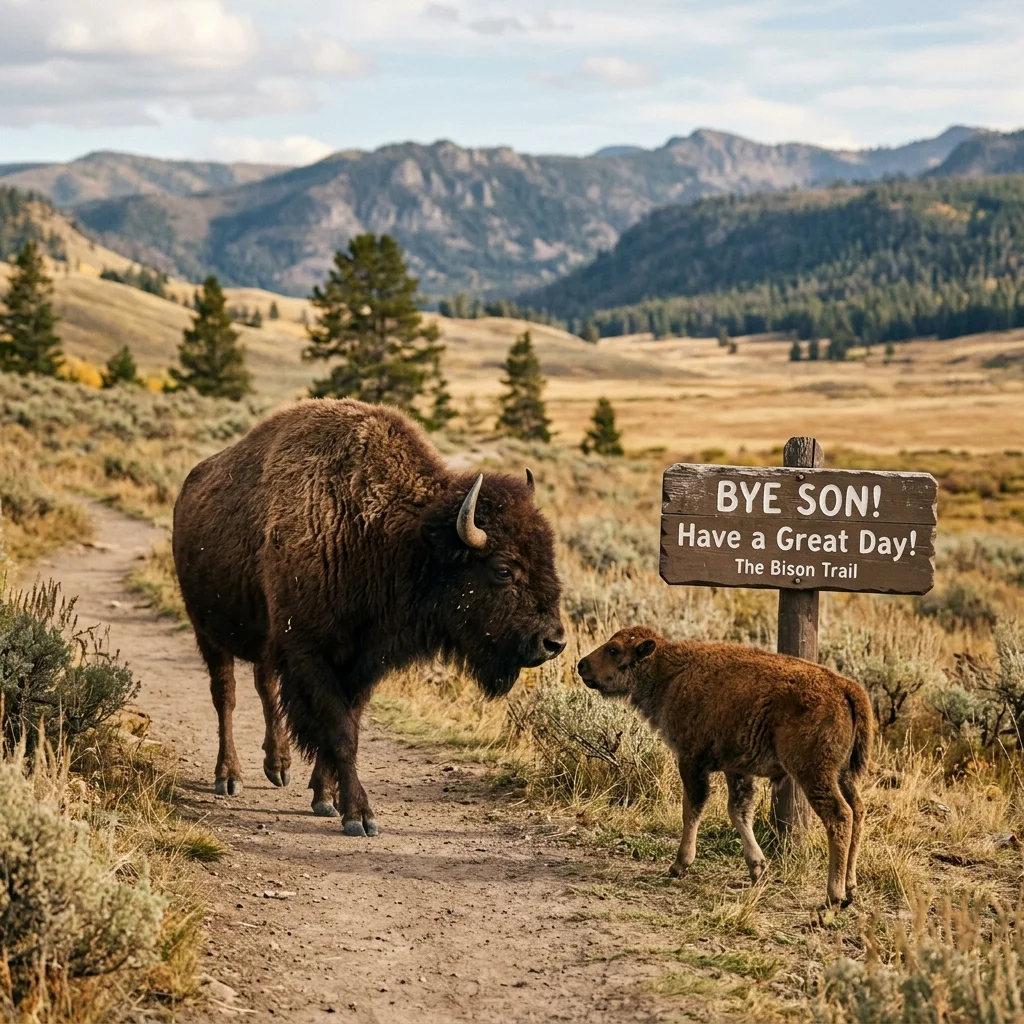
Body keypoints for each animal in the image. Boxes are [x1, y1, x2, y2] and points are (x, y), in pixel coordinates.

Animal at [172, 398, 565, 835]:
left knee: (264, 687)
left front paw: (325, 797)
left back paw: (279, 766)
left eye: (548, 555)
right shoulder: (310, 654)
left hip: (262, 641)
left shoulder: (361, 663)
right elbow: (339, 731)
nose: (553, 641)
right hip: (208, 632)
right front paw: (359, 815)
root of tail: (190, 487)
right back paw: (229, 777)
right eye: (503, 569)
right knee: (225, 696)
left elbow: (348, 726)